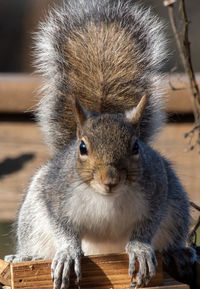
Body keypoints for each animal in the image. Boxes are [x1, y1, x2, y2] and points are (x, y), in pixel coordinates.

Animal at [4, 0, 195, 286]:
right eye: (82, 147)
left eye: (136, 147)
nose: (110, 180)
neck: (107, 198)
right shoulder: (55, 194)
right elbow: (63, 228)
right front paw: (68, 253)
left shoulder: (158, 189)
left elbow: (147, 226)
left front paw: (139, 248)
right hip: (32, 214)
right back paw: (25, 257)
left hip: (177, 206)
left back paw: (177, 252)